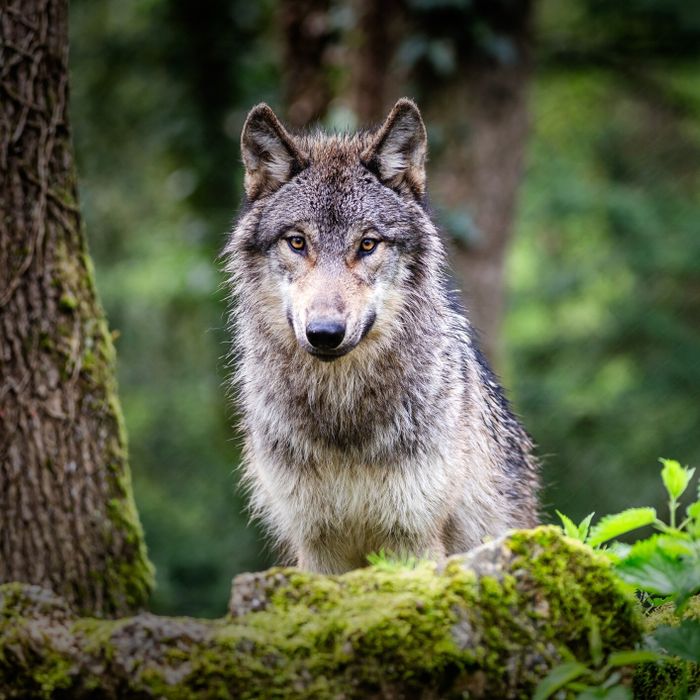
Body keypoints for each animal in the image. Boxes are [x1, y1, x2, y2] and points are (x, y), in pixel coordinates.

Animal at [225, 98, 539, 574]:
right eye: (297, 242)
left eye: (368, 244)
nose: (324, 334)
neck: (342, 418)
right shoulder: (316, 545)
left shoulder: (412, 537)